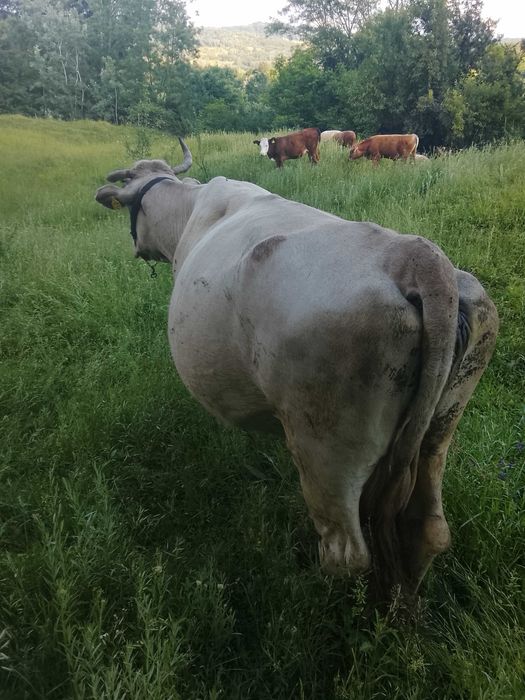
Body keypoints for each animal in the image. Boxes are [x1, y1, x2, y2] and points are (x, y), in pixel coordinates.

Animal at [95, 138, 498, 601]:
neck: (191, 211)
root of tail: (414, 256)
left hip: (324, 447)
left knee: (345, 551)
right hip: (439, 429)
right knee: (429, 528)